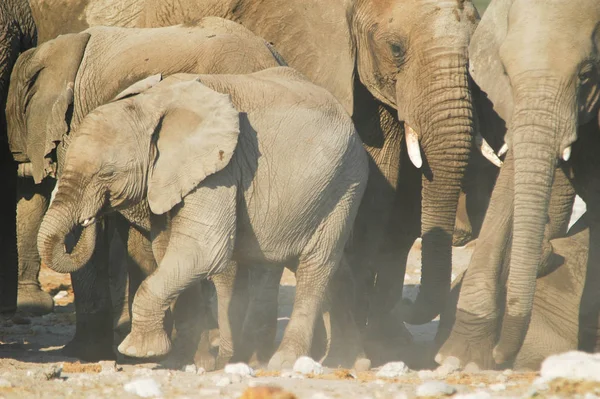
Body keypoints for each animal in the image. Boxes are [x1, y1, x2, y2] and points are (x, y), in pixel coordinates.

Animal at [37, 69, 368, 372]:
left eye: (107, 173)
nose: (90, 217)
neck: (150, 105)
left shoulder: (219, 171)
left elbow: (203, 250)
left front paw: (139, 351)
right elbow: (168, 252)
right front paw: (182, 361)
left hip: (344, 184)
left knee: (315, 266)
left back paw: (285, 363)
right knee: (305, 266)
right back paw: (343, 360)